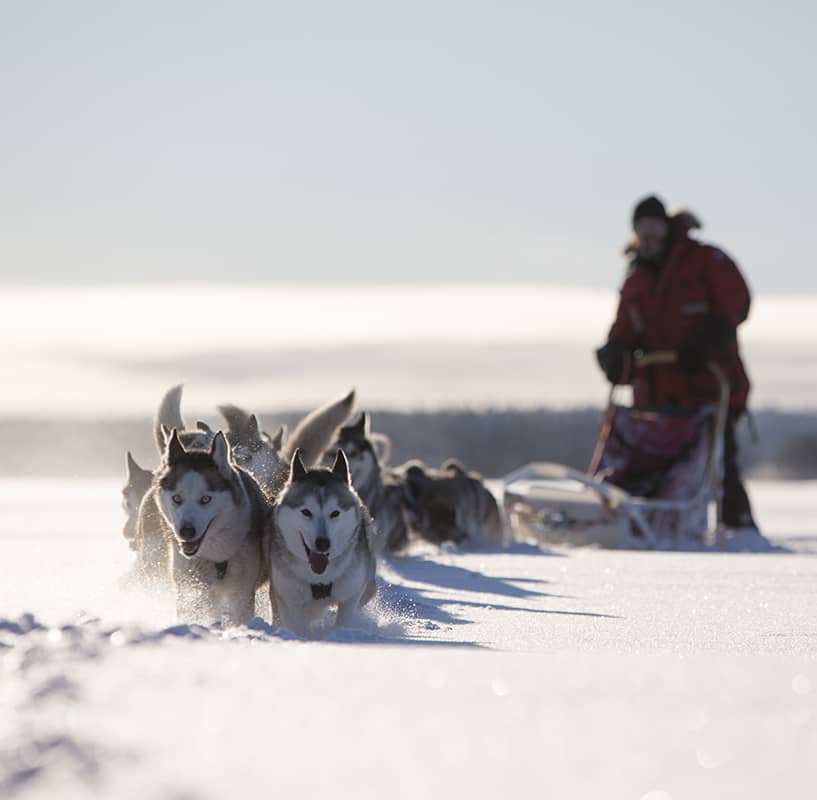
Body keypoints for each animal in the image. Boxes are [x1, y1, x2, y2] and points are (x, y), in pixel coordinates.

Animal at [147, 432, 270, 624]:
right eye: (177, 498)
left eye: (205, 499)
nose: (186, 532)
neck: (215, 557)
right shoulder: (191, 589)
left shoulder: (241, 594)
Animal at [270, 450, 380, 636]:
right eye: (306, 512)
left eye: (335, 513)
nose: (323, 543)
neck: (320, 579)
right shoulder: (291, 599)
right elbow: (295, 626)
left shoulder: (350, 596)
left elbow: (345, 619)